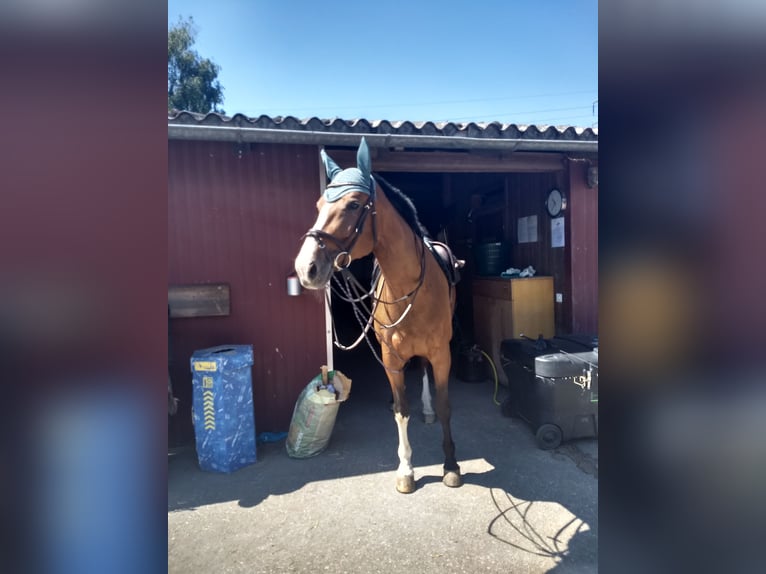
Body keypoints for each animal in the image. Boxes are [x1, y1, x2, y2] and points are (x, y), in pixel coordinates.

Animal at [294, 137, 462, 492]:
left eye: (354, 205)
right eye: (319, 205)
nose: (306, 268)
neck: (411, 286)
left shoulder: (442, 353)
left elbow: (444, 406)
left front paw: (451, 464)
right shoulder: (391, 356)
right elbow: (401, 411)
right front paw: (406, 469)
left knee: (422, 372)